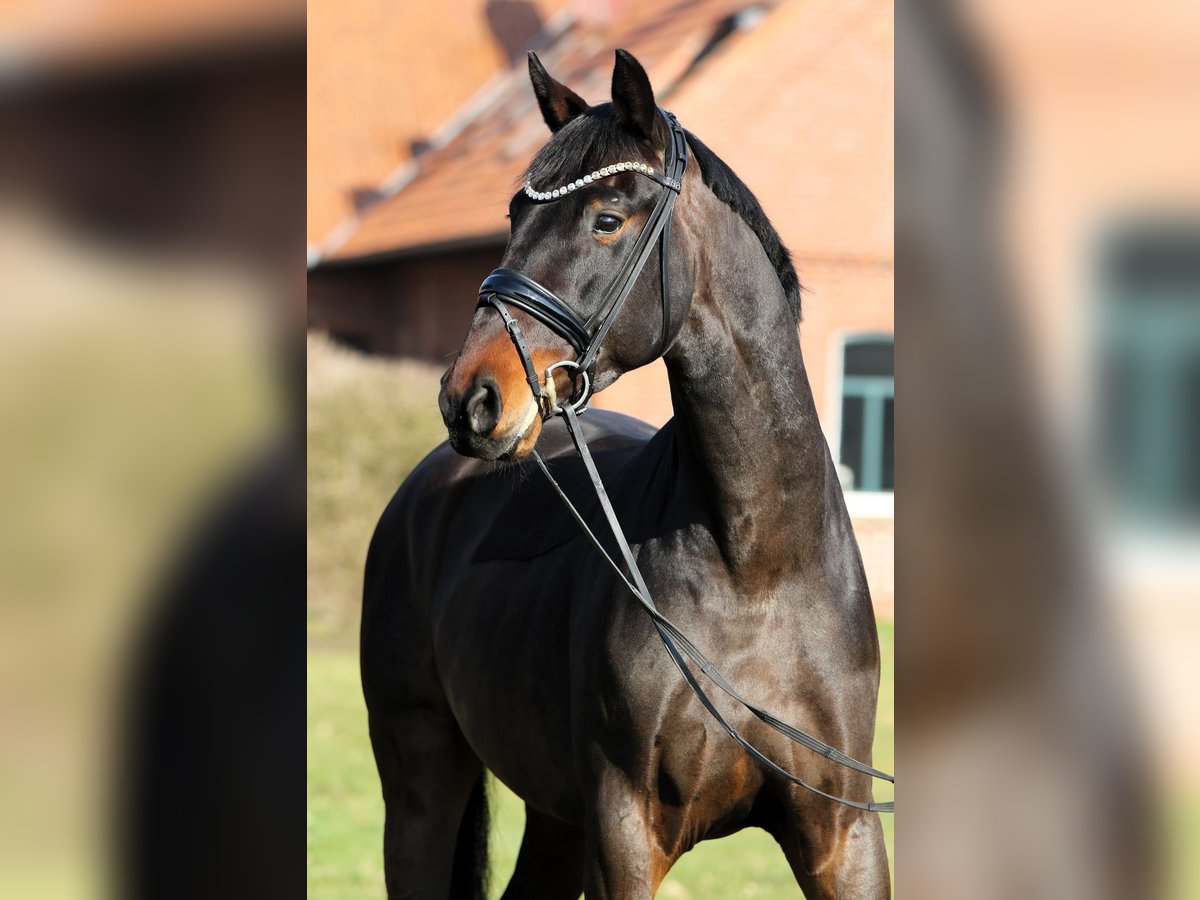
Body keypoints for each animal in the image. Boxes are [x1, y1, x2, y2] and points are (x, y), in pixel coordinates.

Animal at [360, 51, 888, 900]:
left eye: (607, 219)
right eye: (513, 214)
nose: (470, 398)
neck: (759, 568)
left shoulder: (844, 837)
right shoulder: (625, 833)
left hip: (554, 816)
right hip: (421, 779)